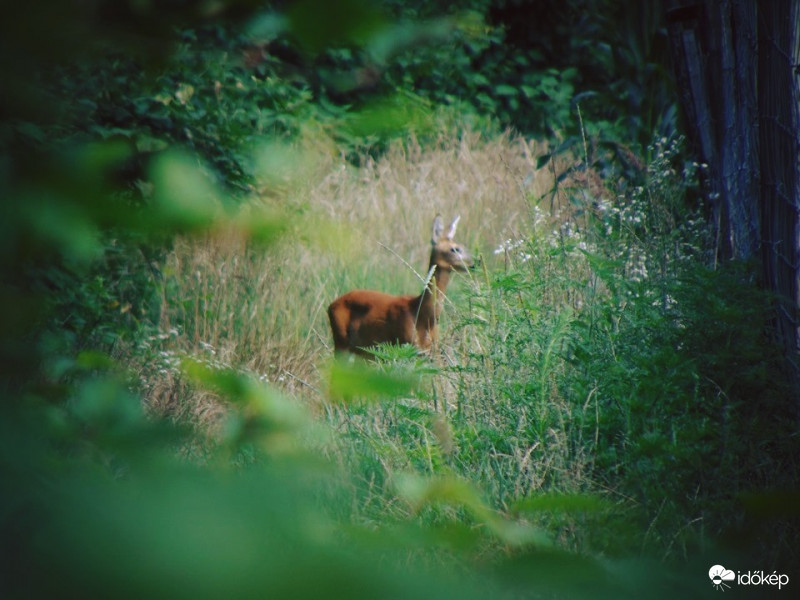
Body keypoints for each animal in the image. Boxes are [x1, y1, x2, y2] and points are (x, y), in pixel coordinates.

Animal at [326, 216, 472, 356]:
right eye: (455, 249)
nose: (473, 263)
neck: (421, 314)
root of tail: (330, 305)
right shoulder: (405, 344)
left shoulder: (428, 350)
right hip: (341, 342)